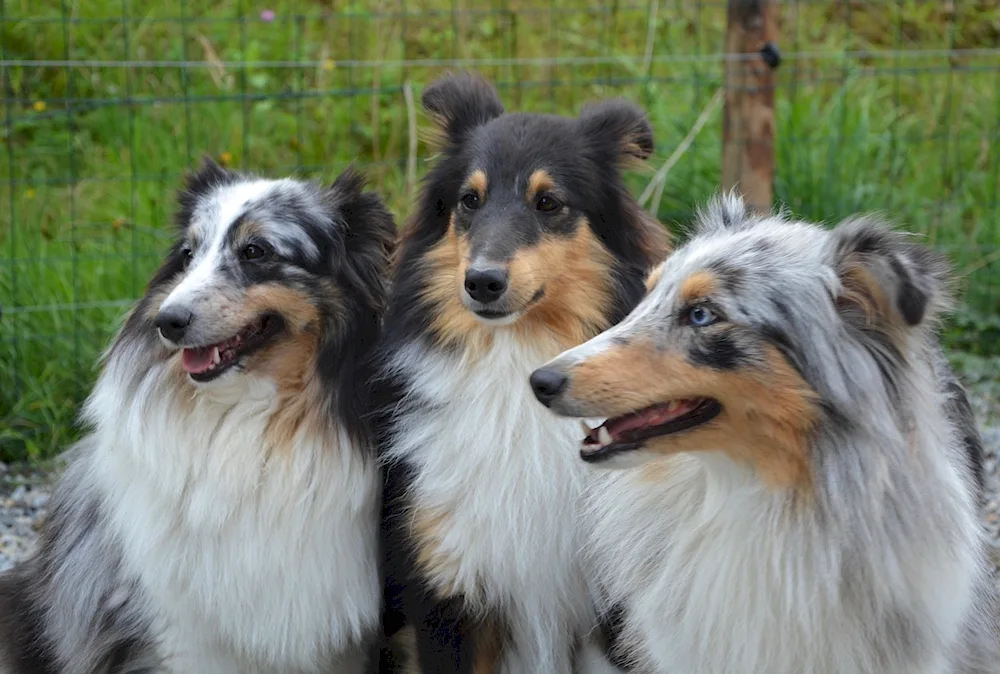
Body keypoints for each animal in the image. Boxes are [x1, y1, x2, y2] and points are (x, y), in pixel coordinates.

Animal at [370, 71, 672, 668]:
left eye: (548, 202)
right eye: (469, 199)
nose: (482, 282)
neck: (517, 364)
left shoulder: (610, 604)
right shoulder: (448, 596)